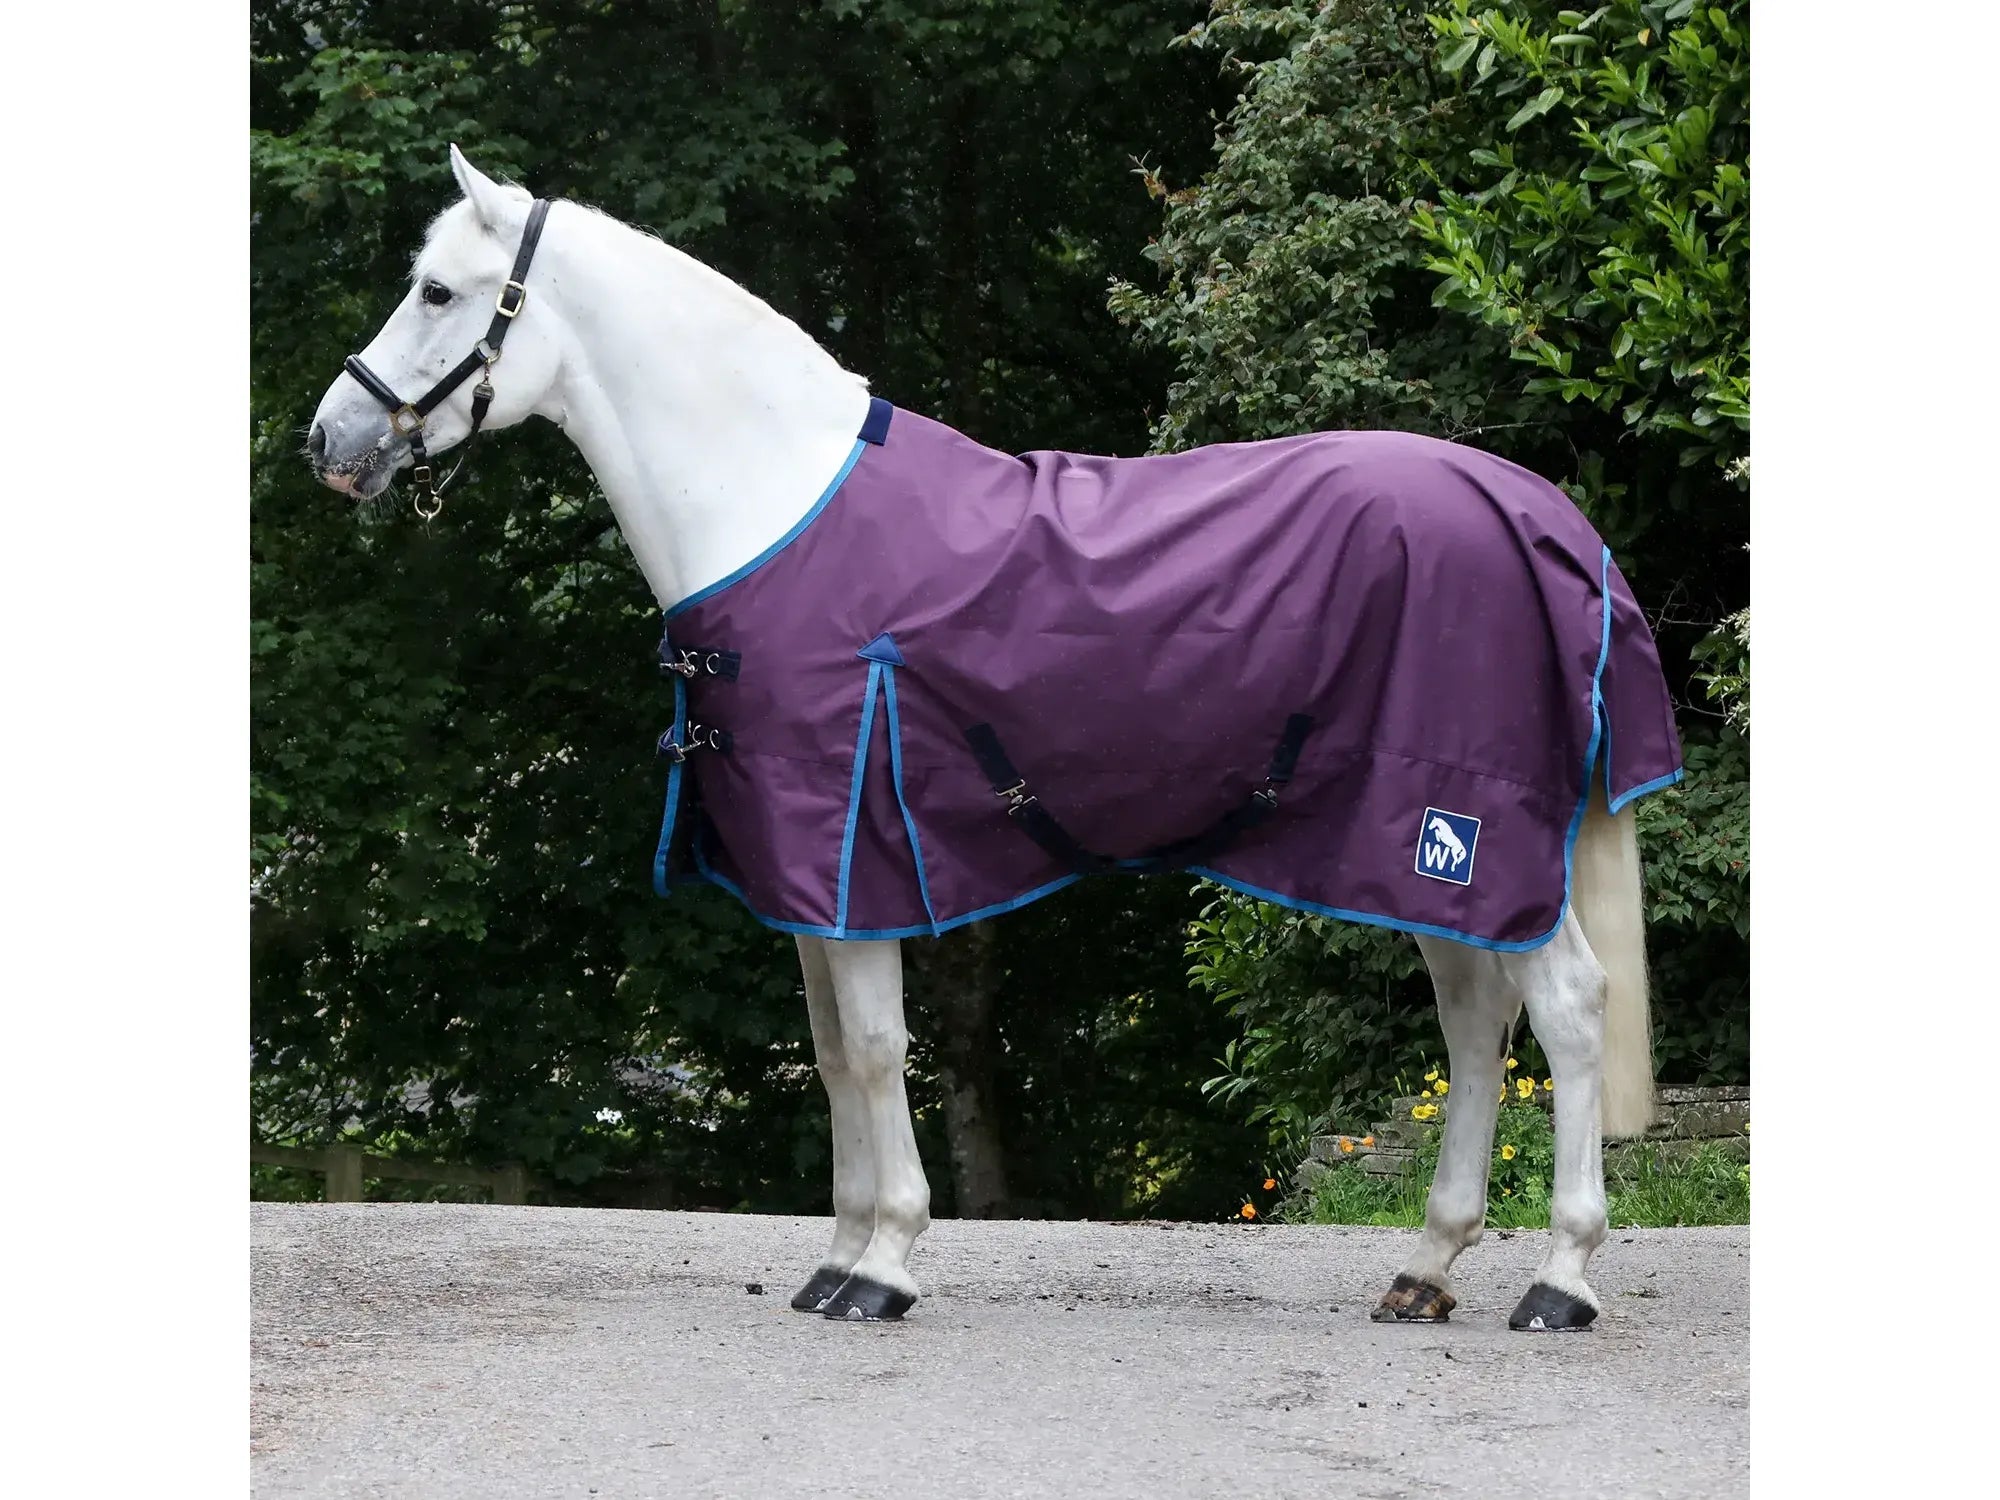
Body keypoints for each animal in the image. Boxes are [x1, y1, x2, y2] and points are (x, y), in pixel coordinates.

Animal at [307, 147, 1682, 1331]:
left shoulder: (852, 853)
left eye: (438, 290)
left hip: (1467, 837)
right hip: (1413, 858)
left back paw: (1559, 1280)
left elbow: (873, 1051)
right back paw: (1425, 1268)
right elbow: (830, 1056)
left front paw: (883, 1267)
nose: (329, 443)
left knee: (1564, 1012)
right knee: (1472, 1020)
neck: (774, 501)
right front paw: (834, 1257)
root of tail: (1537, 514)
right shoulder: (809, 877)